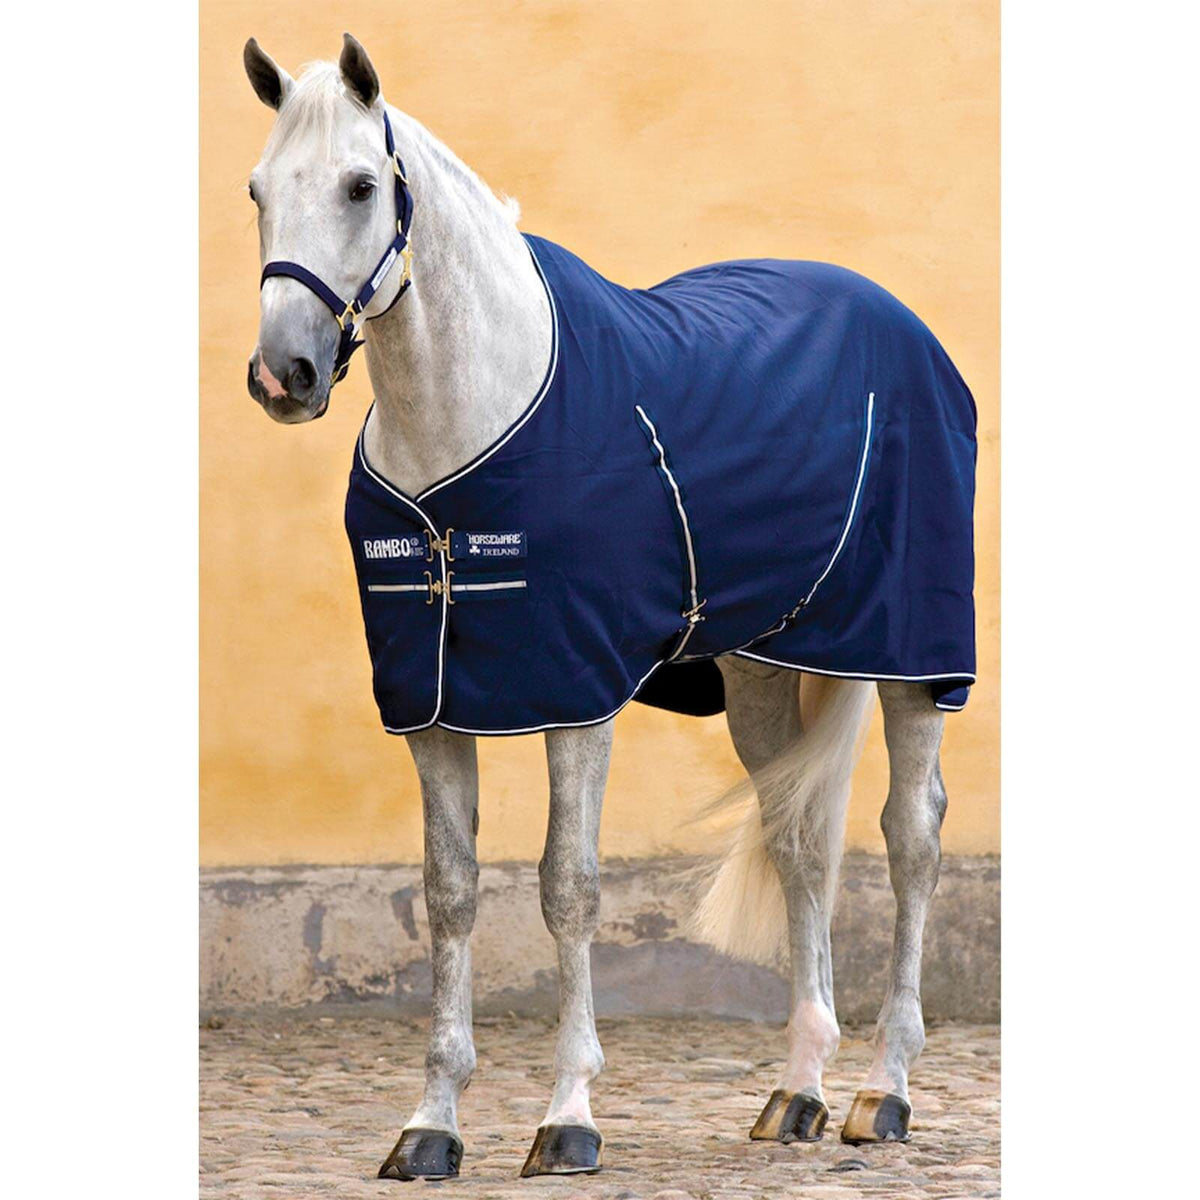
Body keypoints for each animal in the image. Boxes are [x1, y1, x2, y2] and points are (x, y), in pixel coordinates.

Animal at [241, 34, 976, 1181]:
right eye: (258, 191)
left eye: (361, 186)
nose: (285, 374)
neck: (466, 425)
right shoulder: (429, 703)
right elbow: (447, 892)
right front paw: (431, 1125)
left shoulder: (577, 690)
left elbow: (568, 886)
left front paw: (569, 1114)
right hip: (763, 670)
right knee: (801, 840)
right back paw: (797, 1092)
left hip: (910, 656)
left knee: (911, 839)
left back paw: (883, 1091)